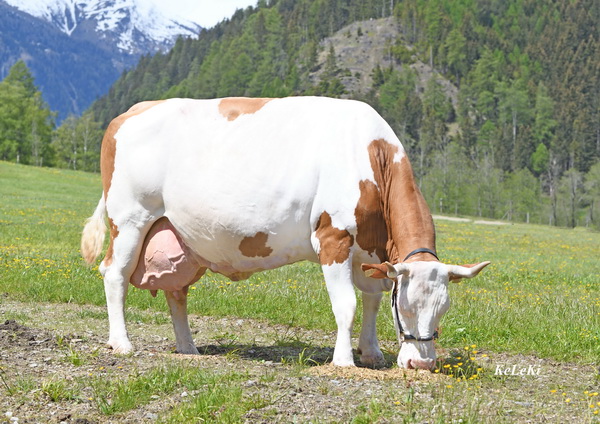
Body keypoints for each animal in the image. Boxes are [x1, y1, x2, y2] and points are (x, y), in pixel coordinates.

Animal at [81, 97, 492, 370]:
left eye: (444, 308)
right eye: (405, 308)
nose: (422, 364)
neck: (371, 155)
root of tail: (131, 111)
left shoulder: (371, 251)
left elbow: (372, 299)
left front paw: (372, 352)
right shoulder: (334, 239)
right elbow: (347, 304)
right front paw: (344, 360)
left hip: (180, 236)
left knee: (176, 291)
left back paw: (188, 348)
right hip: (130, 219)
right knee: (114, 274)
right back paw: (122, 343)